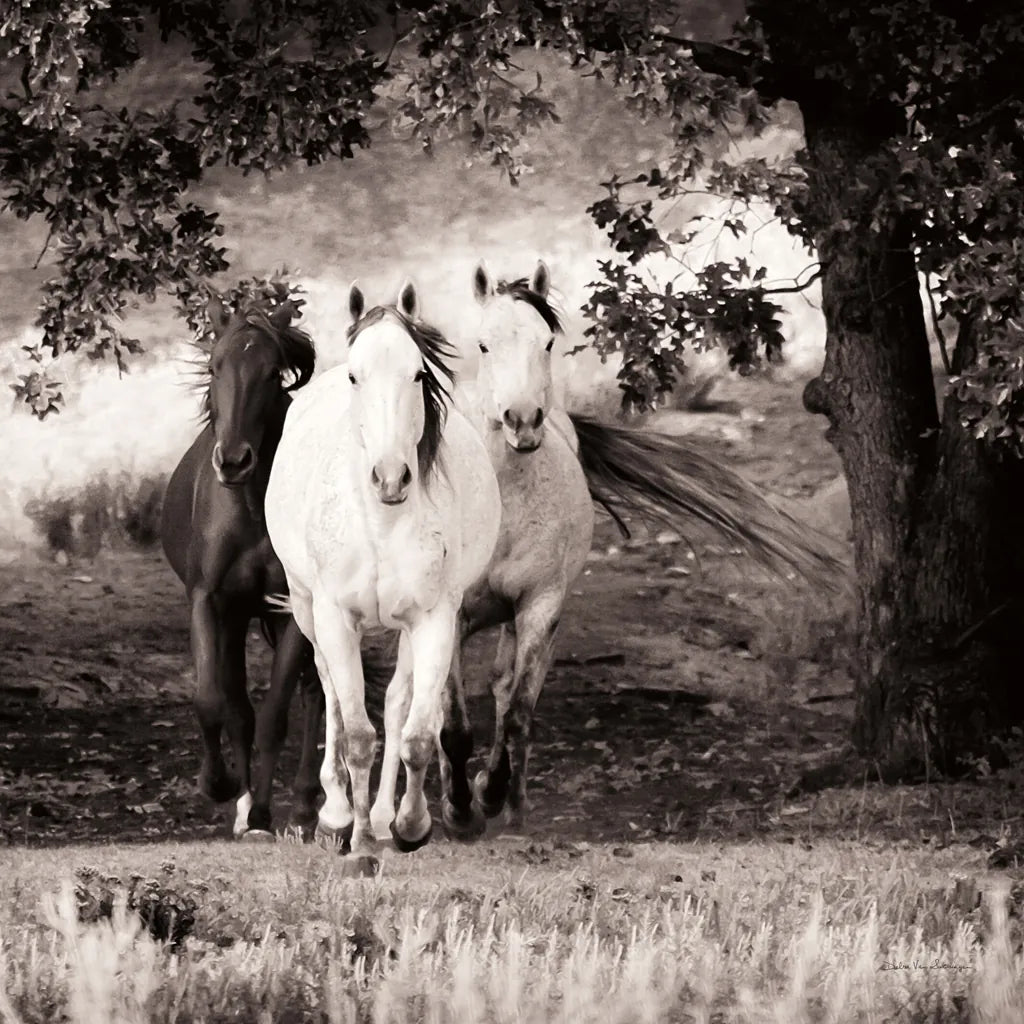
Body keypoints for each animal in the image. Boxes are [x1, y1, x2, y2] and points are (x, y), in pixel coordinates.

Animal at [160, 296, 323, 841]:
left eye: (274, 373)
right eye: (214, 366)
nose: (233, 461)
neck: (253, 508)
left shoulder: (292, 610)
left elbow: (274, 715)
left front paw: (265, 814)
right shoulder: (210, 602)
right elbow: (216, 702)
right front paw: (221, 787)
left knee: (317, 693)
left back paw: (309, 806)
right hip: (237, 619)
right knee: (239, 704)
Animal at [263, 280, 502, 856]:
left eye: (418, 374)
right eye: (356, 375)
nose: (390, 477)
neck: (381, 523)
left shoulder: (434, 619)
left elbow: (415, 733)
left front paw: (408, 826)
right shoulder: (334, 616)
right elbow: (354, 732)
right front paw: (355, 838)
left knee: (397, 702)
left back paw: (379, 814)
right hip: (305, 607)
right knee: (328, 689)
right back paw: (336, 814)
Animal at [402, 259, 843, 838]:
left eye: (547, 342)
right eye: (483, 345)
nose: (523, 420)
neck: (505, 505)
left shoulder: (540, 607)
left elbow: (517, 712)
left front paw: (492, 795)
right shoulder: (450, 616)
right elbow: (451, 725)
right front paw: (457, 811)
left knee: (505, 693)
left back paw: (511, 799)